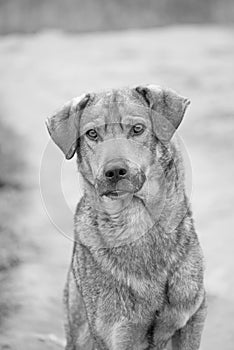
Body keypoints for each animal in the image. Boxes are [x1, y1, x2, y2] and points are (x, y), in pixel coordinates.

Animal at [45, 85, 207, 350]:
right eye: (92, 134)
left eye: (137, 129)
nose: (114, 171)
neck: (139, 220)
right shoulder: (119, 335)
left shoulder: (192, 318)